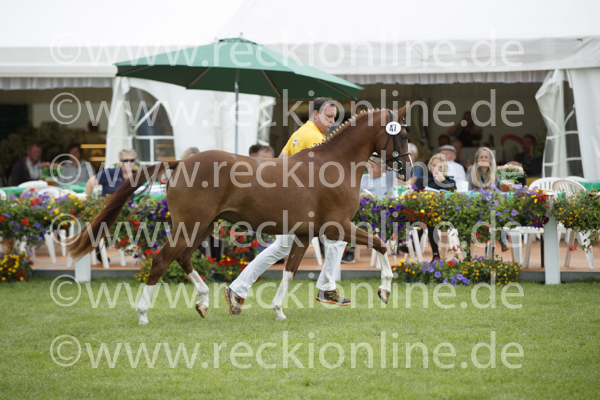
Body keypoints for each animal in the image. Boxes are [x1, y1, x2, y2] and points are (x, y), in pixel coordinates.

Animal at [67, 105, 412, 324]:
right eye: (403, 135)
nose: (407, 170)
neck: (335, 163)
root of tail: (180, 162)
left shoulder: (304, 234)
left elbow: (290, 271)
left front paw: (278, 310)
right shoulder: (336, 227)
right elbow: (381, 243)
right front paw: (384, 289)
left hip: (203, 226)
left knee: (183, 257)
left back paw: (206, 301)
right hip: (191, 225)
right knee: (163, 259)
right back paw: (143, 314)